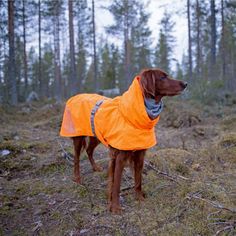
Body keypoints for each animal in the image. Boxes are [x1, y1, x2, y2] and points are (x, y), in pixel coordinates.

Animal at [61, 68, 188, 214]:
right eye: (162, 77)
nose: (185, 84)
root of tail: (75, 96)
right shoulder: (120, 157)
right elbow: (116, 184)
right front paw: (115, 207)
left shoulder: (140, 155)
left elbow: (138, 180)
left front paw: (139, 198)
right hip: (78, 136)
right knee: (76, 158)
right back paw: (77, 179)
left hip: (95, 135)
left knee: (89, 150)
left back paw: (95, 167)